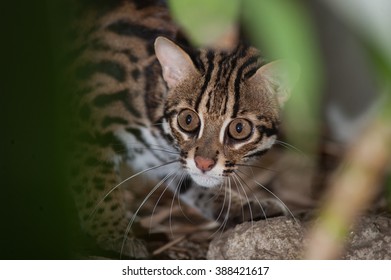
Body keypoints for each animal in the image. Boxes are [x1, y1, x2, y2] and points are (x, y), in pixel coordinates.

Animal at [69, 0, 298, 258]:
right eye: (188, 120)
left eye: (239, 128)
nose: (204, 164)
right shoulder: (83, 125)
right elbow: (96, 184)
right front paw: (113, 234)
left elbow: (194, 182)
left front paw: (242, 207)